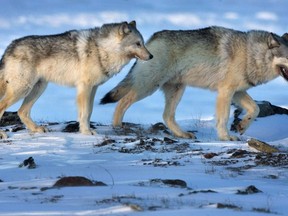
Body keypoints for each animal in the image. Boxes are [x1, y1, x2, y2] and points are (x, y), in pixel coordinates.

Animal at [0, 20, 153, 138]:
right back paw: (2, 134)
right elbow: (84, 113)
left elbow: (89, 112)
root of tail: (9, 47)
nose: (151, 56)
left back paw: (36, 129)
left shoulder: (93, 88)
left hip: (38, 88)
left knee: (21, 112)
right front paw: (86, 132)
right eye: (138, 43)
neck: (101, 49)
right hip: (23, 89)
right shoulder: (85, 87)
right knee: (6, 107)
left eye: (143, 43)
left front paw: (86, 130)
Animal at [100, 26, 288, 141]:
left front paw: (242, 126)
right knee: (122, 102)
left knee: (166, 116)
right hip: (148, 87)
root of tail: (150, 39)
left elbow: (255, 109)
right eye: (287, 57)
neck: (251, 55)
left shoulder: (237, 92)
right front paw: (226, 137)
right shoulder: (225, 92)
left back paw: (183, 134)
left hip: (177, 91)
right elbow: (223, 118)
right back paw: (117, 127)